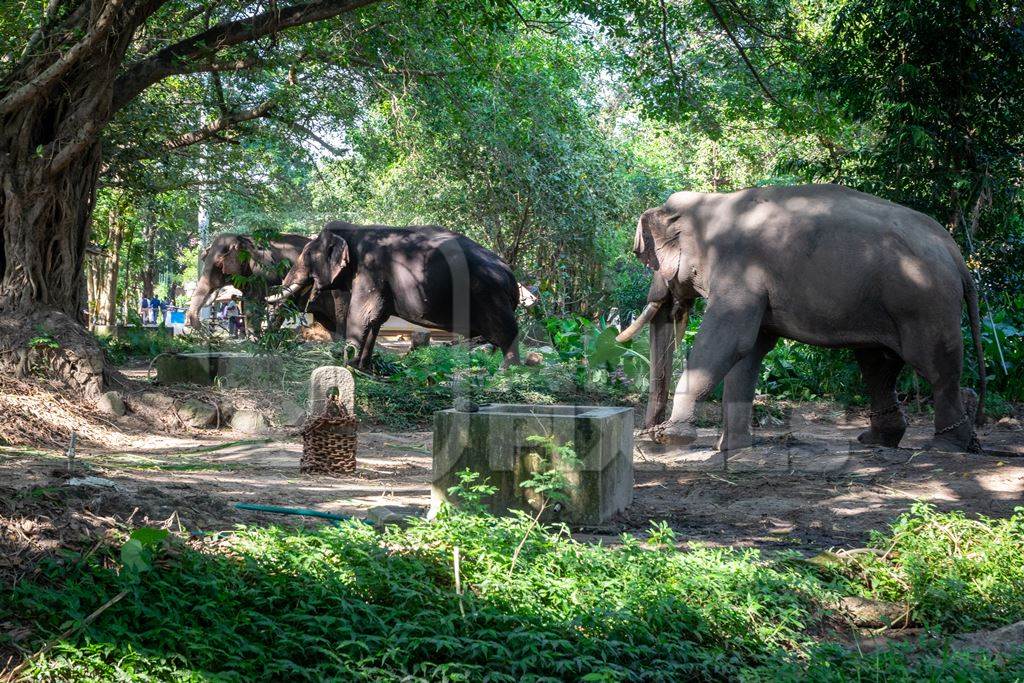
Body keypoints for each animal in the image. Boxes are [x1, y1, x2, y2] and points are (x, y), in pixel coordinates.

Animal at [184, 233, 344, 335]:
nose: (190, 328)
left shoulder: (263, 272)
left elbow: (257, 302)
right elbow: (247, 303)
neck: (244, 237)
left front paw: (258, 340)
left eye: (219, 264)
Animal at [266, 223, 520, 368]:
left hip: (489, 295)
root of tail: (511, 276)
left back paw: (509, 371)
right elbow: (375, 319)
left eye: (308, 254)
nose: (270, 345)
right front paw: (363, 367)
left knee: (507, 333)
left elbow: (362, 315)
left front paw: (347, 365)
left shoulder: (370, 270)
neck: (355, 229)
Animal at [614, 184, 983, 456]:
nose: (649, 435)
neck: (712, 201)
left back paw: (945, 445)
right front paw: (730, 448)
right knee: (878, 365)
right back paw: (880, 441)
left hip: (924, 302)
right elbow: (749, 352)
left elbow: (728, 341)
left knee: (934, 367)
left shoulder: (739, 271)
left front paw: (674, 438)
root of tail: (956, 254)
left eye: (649, 261)